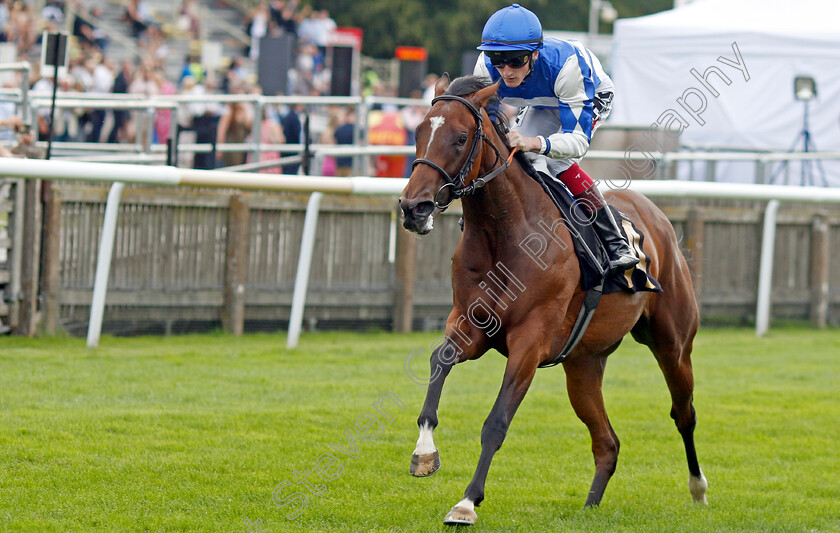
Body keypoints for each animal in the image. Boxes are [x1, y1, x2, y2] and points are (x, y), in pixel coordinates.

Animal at [398, 74, 704, 524]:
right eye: (419, 132)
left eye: (459, 138)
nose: (413, 207)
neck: (505, 231)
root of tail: (655, 213)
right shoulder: (471, 325)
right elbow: (440, 361)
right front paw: (424, 452)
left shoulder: (530, 341)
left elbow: (496, 423)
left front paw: (467, 502)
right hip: (583, 365)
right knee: (607, 442)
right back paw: (591, 504)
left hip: (673, 344)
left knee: (683, 413)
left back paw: (698, 489)